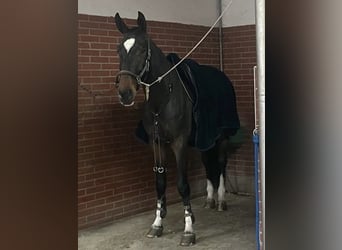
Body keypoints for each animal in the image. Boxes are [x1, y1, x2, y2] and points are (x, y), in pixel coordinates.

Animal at [113, 11, 240, 246]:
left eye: (142, 49)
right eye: (119, 49)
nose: (125, 93)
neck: (163, 99)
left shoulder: (179, 143)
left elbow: (182, 184)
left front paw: (189, 229)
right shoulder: (157, 143)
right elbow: (160, 182)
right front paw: (157, 224)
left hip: (222, 136)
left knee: (220, 164)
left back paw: (220, 200)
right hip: (203, 139)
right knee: (207, 162)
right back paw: (209, 199)